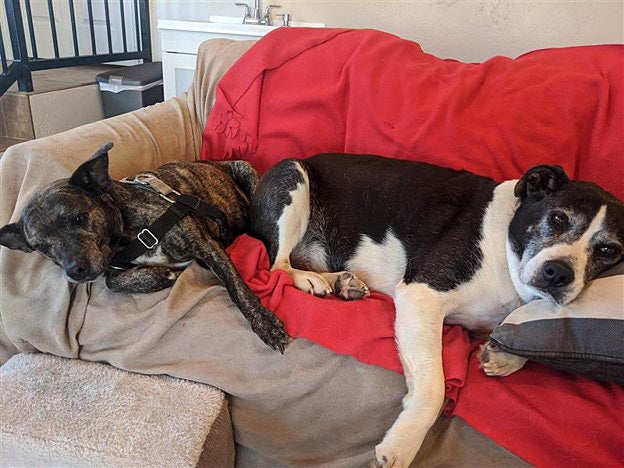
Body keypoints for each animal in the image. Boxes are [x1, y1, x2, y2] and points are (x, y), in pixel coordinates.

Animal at [0, 143, 288, 352]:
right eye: (41, 247)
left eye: (79, 218)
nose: (74, 271)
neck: (128, 233)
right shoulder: (112, 267)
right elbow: (113, 282)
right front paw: (163, 275)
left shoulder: (207, 246)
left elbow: (237, 289)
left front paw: (265, 324)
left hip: (247, 171)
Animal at [250, 153, 624, 464]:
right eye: (558, 218)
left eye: (609, 249)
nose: (559, 273)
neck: (506, 254)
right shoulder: (422, 295)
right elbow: (434, 387)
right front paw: (402, 444)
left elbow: (524, 331)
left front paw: (503, 355)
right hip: (292, 179)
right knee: (278, 267)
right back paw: (309, 280)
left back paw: (343, 283)